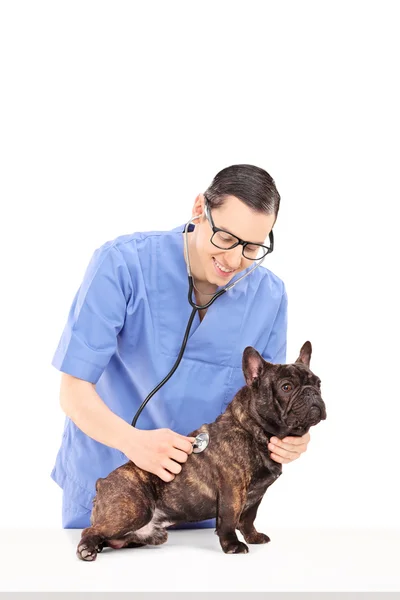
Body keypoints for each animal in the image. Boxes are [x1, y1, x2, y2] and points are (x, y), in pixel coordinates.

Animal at [76, 340, 326, 560]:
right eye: (286, 387)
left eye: (319, 383)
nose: (311, 393)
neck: (255, 430)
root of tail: (101, 483)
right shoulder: (233, 489)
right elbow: (229, 519)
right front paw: (232, 545)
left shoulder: (256, 495)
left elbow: (248, 518)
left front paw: (253, 537)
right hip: (134, 508)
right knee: (91, 530)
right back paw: (87, 549)